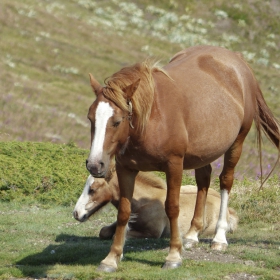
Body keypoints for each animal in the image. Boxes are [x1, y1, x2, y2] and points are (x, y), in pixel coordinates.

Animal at [73, 172, 237, 240]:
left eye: (93, 189)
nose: (76, 213)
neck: (143, 203)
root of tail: (229, 211)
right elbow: (104, 231)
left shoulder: (152, 233)